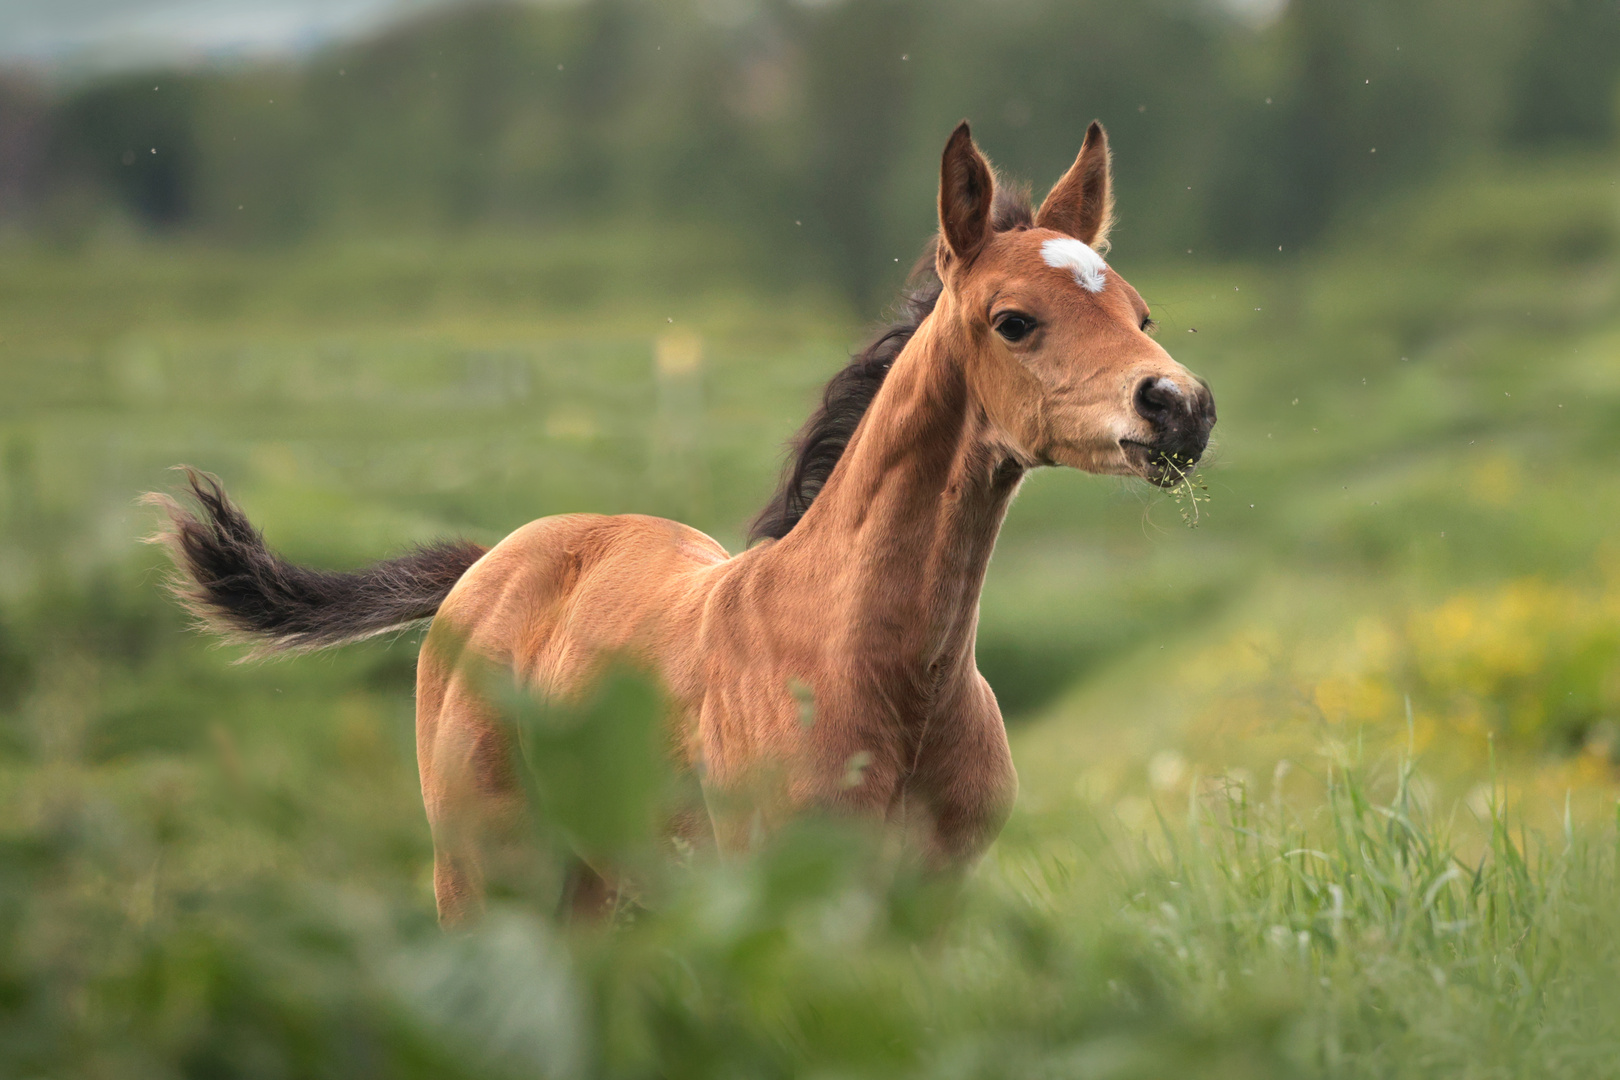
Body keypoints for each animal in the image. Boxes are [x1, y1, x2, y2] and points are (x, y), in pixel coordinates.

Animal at [149, 122, 1218, 926]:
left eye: (1141, 313)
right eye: (1013, 320)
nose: (1180, 408)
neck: (874, 667)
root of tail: (487, 566)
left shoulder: (930, 905)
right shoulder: (788, 898)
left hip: (602, 883)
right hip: (487, 872)